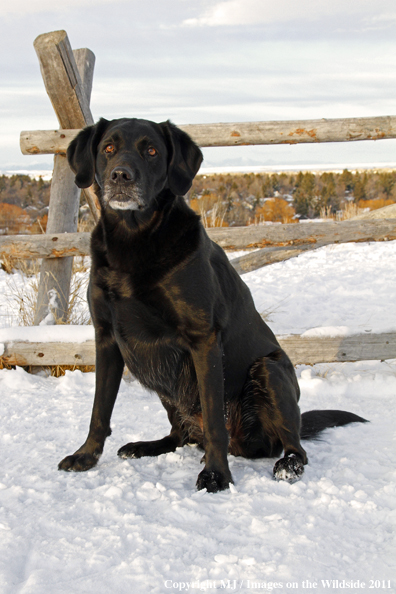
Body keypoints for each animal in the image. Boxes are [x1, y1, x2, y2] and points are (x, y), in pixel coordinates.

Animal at [57, 117, 366, 490]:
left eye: (152, 151)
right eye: (108, 148)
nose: (121, 175)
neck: (133, 240)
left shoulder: (202, 339)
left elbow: (215, 419)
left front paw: (216, 474)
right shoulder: (106, 338)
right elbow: (99, 410)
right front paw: (86, 456)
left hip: (270, 370)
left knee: (292, 445)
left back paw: (287, 465)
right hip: (168, 387)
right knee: (180, 435)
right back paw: (146, 446)